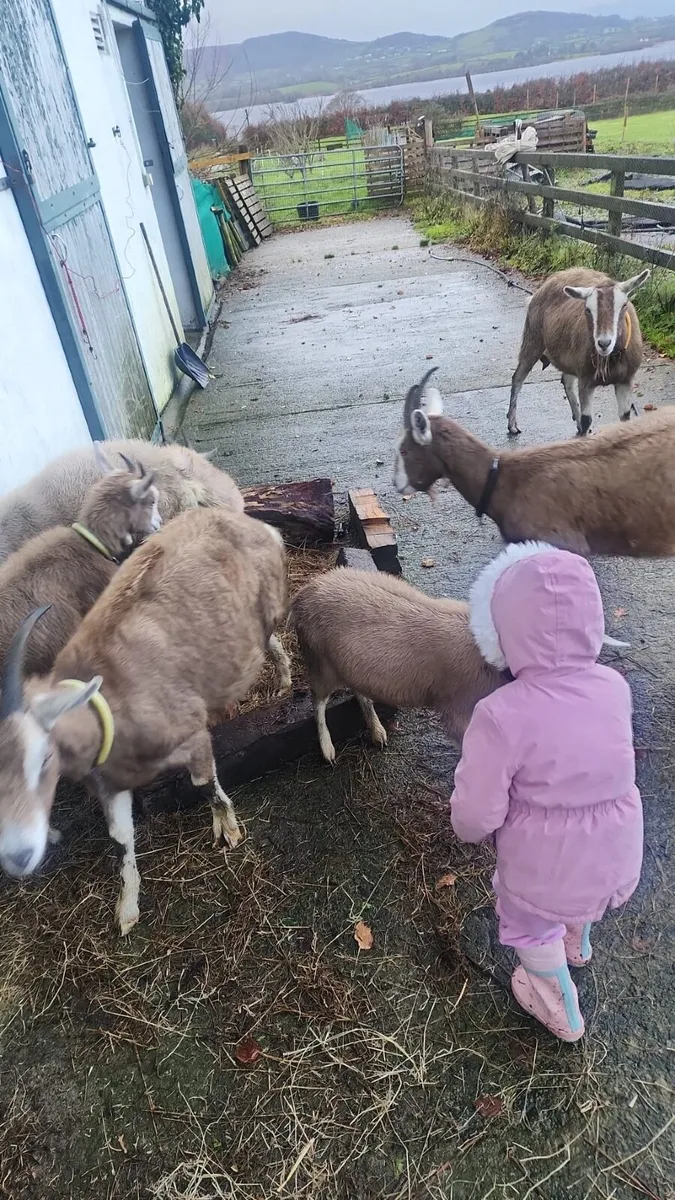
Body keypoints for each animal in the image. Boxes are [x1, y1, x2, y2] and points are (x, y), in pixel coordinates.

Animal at [0, 508, 290, 934]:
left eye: (45, 756)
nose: (19, 856)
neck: (108, 704)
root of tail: (254, 524)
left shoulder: (192, 737)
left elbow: (205, 784)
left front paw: (229, 830)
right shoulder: (108, 781)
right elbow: (121, 837)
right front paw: (127, 908)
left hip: (267, 610)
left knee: (270, 639)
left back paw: (284, 680)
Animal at [290, 568, 505, 762]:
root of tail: (304, 593)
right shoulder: (458, 707)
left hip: (350, 667)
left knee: (359, 692)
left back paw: (377, 732)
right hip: (321, 664)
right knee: (318, 702)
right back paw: (328, 750)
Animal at [508, 267, 649, 436]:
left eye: (624, 305)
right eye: (587, 309)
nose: (604, 343)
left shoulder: (625, 380)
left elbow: (625, 418)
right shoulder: (586, 380)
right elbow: (587, 419)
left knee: (567, 381)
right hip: (533, 338)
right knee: (518, 378)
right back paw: (512, 425)